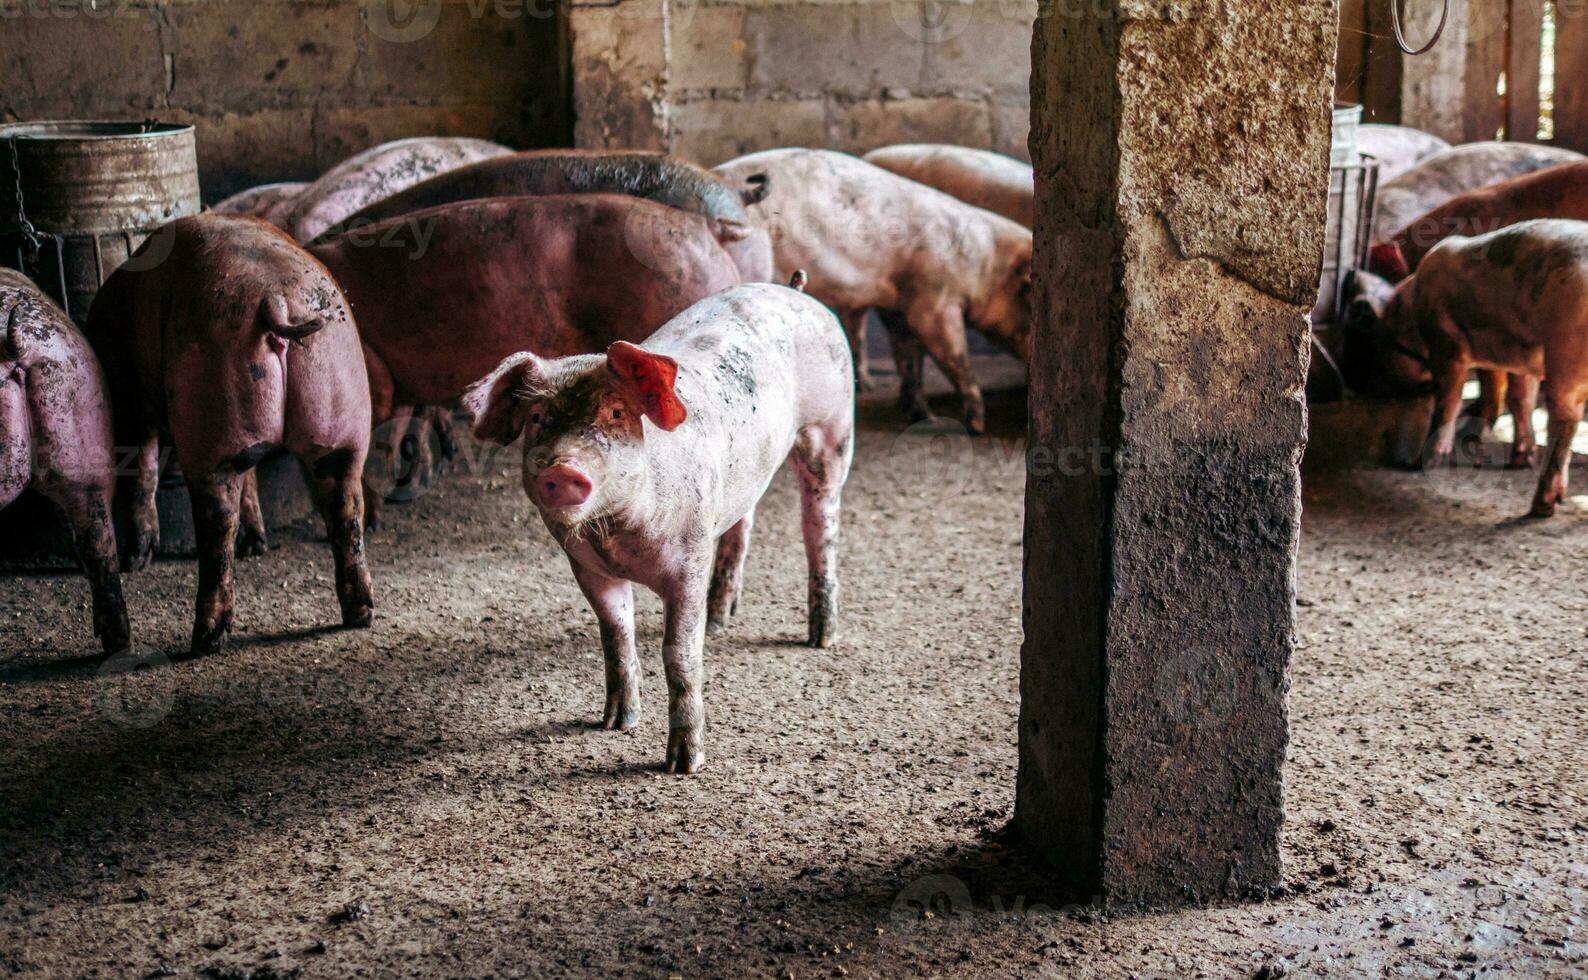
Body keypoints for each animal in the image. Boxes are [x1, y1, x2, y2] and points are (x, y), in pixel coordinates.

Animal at [92, 217, 374, 654]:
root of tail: (276, 298)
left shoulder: (133, 404)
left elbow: (142, 472)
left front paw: (137, 560)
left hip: (212, 422)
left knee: (217, 524)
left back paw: (203, 640)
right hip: (341, 410)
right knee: (346, 509)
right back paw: (357, 614)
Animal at [463, 274, 857, 771]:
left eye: (616, 413)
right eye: (537, 418)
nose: (563, 468)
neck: (618, 536)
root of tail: (796, 291)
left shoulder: (689, 562)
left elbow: (680, 655)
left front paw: (683, 764)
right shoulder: (587, 567)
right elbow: (615, 632)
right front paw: (615, 724)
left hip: (832, 430)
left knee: (820, 528)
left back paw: (819, 639)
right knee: (742, 523)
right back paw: (719, 619)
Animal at [714, 147, 1035, 432]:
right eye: (1026, 298)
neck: (987, 265)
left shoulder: (898, 305)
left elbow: (908, 357)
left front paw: (924, 417)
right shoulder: (934, 301)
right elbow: (954, 355)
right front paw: (976, 425)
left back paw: (864, 386)